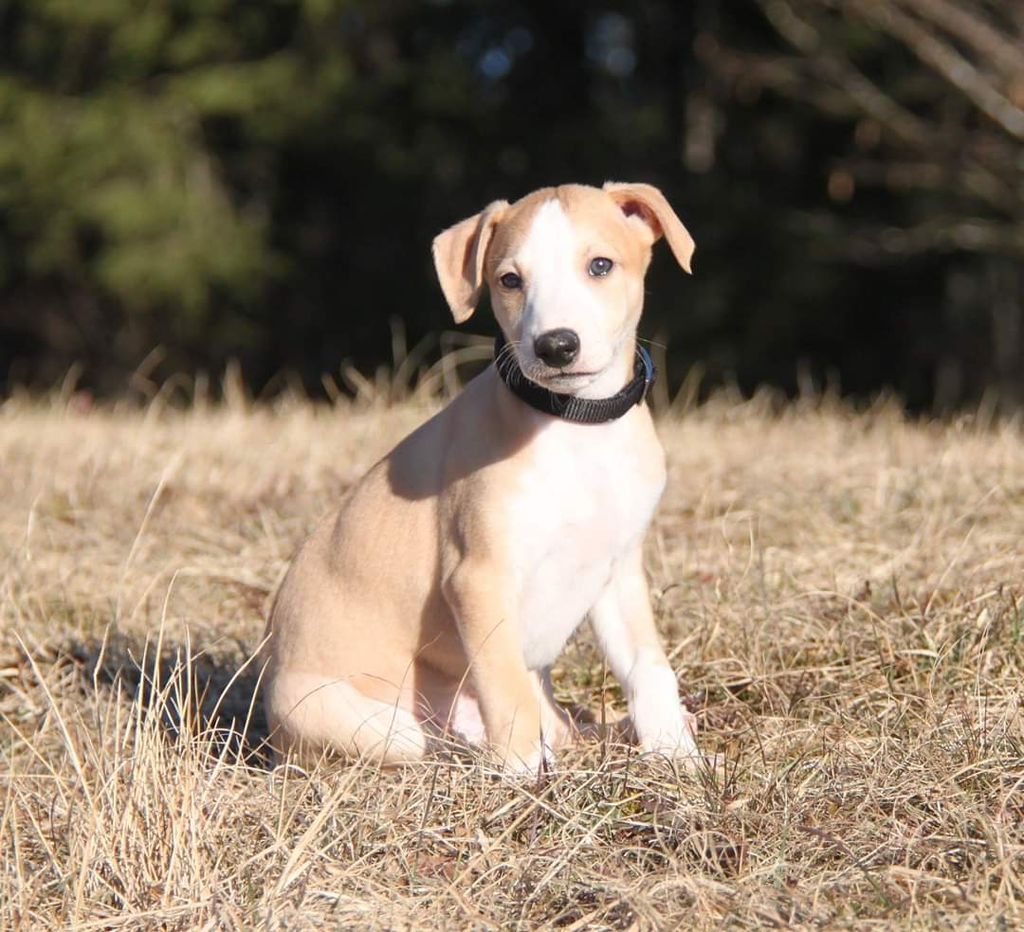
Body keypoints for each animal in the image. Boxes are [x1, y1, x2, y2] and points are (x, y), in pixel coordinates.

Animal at [260, 182, 700, 774]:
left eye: (600, 265)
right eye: (509, 280)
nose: (556, 346)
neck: (575, 428)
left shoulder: (618, 570)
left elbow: (647, 666)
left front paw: (677, 754)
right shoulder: (479, 578)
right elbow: (505, 686)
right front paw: (524, 777)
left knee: (557, 722)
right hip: (359, 721)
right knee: (444, 739)